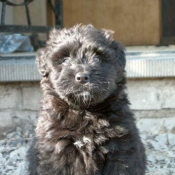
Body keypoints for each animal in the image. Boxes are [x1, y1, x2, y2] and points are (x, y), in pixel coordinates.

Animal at [28, 24, 146, 175]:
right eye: (64, 59)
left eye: (99, 58)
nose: (82, 77)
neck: (85, 111)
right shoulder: (54, 154)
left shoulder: (121, 150)